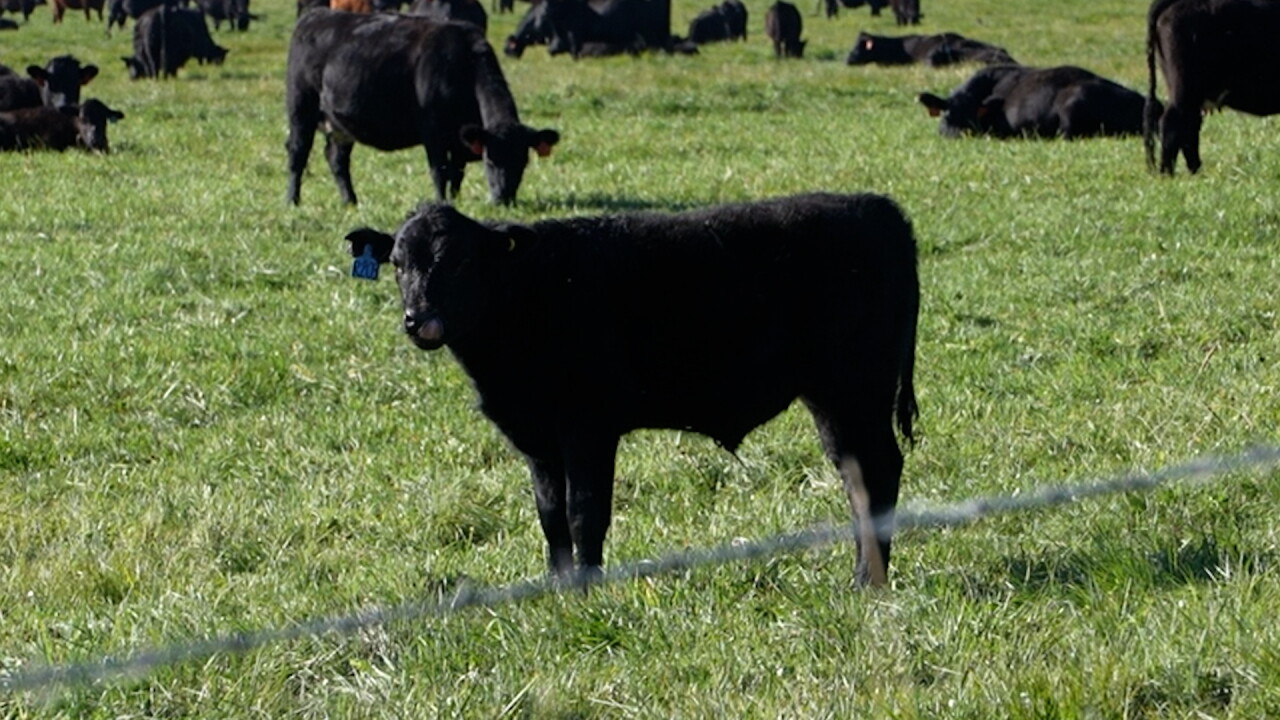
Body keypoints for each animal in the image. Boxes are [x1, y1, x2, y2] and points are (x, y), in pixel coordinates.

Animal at [286, 10, 560, 206]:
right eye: (489, 161)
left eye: (523, 162)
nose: (503, 199)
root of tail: (314, 16)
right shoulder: (433, 130)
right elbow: (439, 170)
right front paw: (442, 201)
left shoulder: (461, 137)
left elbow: (457, 172)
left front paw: (456, 200)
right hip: (300, 106)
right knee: (298, 152)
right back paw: (293, 200)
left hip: (340, 124)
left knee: (337, 159)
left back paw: (350, 201)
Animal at [345, 193, 920, 587]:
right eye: (398, 263)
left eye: (463, 261)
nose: (420, 320)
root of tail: (880, 208)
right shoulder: (536, 435)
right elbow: (550, 515)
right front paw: (557, 588)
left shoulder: (587, 426)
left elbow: (584, 512)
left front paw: (587, 590)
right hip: (833, 397)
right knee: (857, 477)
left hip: (855, 389)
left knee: (878, 471)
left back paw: (868, 580)